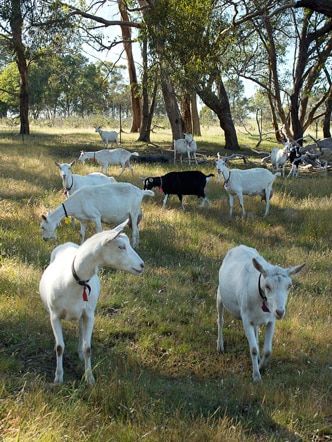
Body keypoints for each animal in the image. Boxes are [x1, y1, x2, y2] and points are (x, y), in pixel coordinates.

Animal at [217, 243, 304, 382]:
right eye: (267, 286)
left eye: (289, 286)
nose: (280, 312)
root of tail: (239, 246)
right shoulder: (246, 319)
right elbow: (253, 349)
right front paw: (256, 376)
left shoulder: (271, 320)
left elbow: (268, 350)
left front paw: (261, 366)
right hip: (220, 294)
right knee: (220, 320)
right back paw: (220, 346)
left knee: (256, 330)